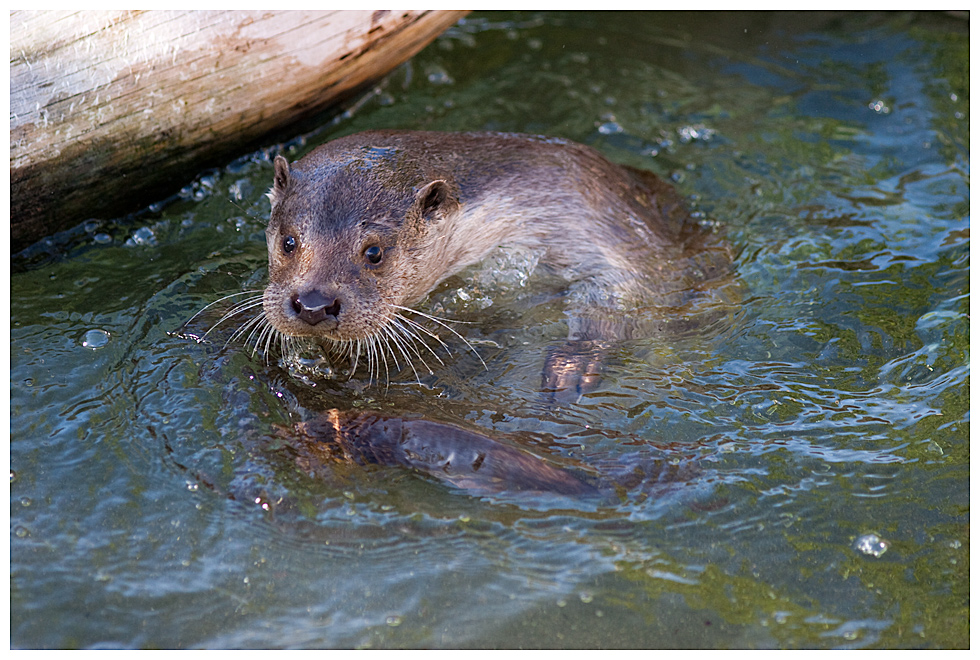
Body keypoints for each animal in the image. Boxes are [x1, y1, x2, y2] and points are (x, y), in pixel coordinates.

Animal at [258, 130, 728, 398]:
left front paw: (574, 362)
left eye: (374, 252)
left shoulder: (597, 221)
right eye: (289, 241)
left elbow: (629, 289)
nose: (314, 304)